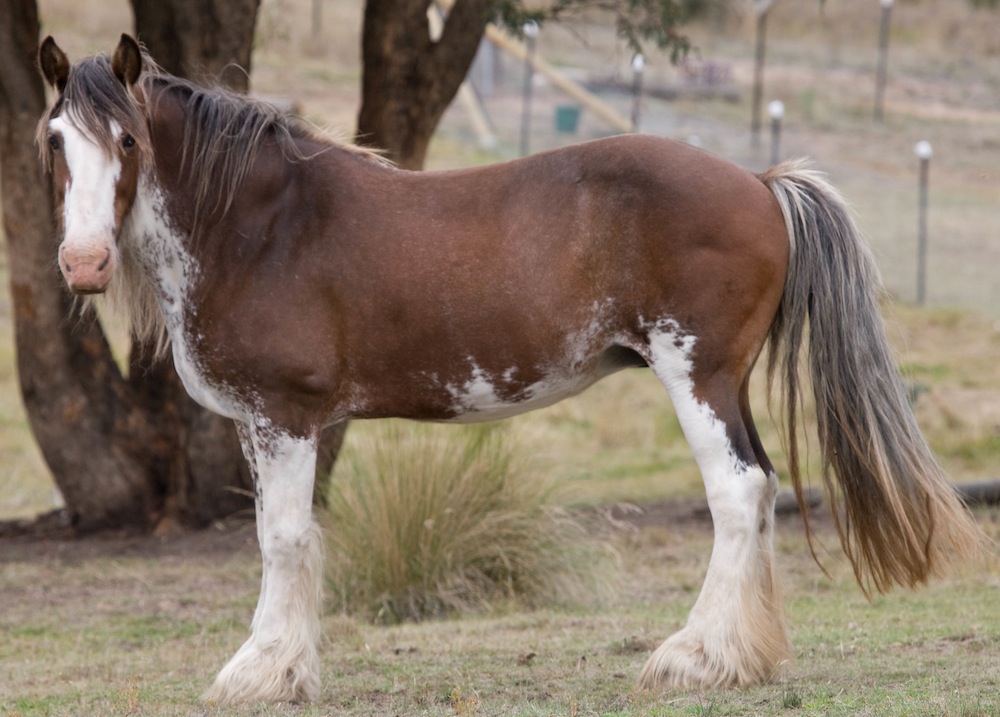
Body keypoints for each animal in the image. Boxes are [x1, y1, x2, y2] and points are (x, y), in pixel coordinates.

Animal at [35, 36, 980, 704]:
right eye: (52, 142)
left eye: (127, 138)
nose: (83, 264)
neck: (262, 223)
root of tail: (758, 179)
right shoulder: (262, 426)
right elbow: (283, 536)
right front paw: (287, 670)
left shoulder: (286, 416)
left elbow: (285, 539)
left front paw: (260, 672)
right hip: (727, 383)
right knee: (764, 487)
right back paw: (739, 657)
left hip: (697, 376)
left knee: (738, 492)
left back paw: (691, 658)